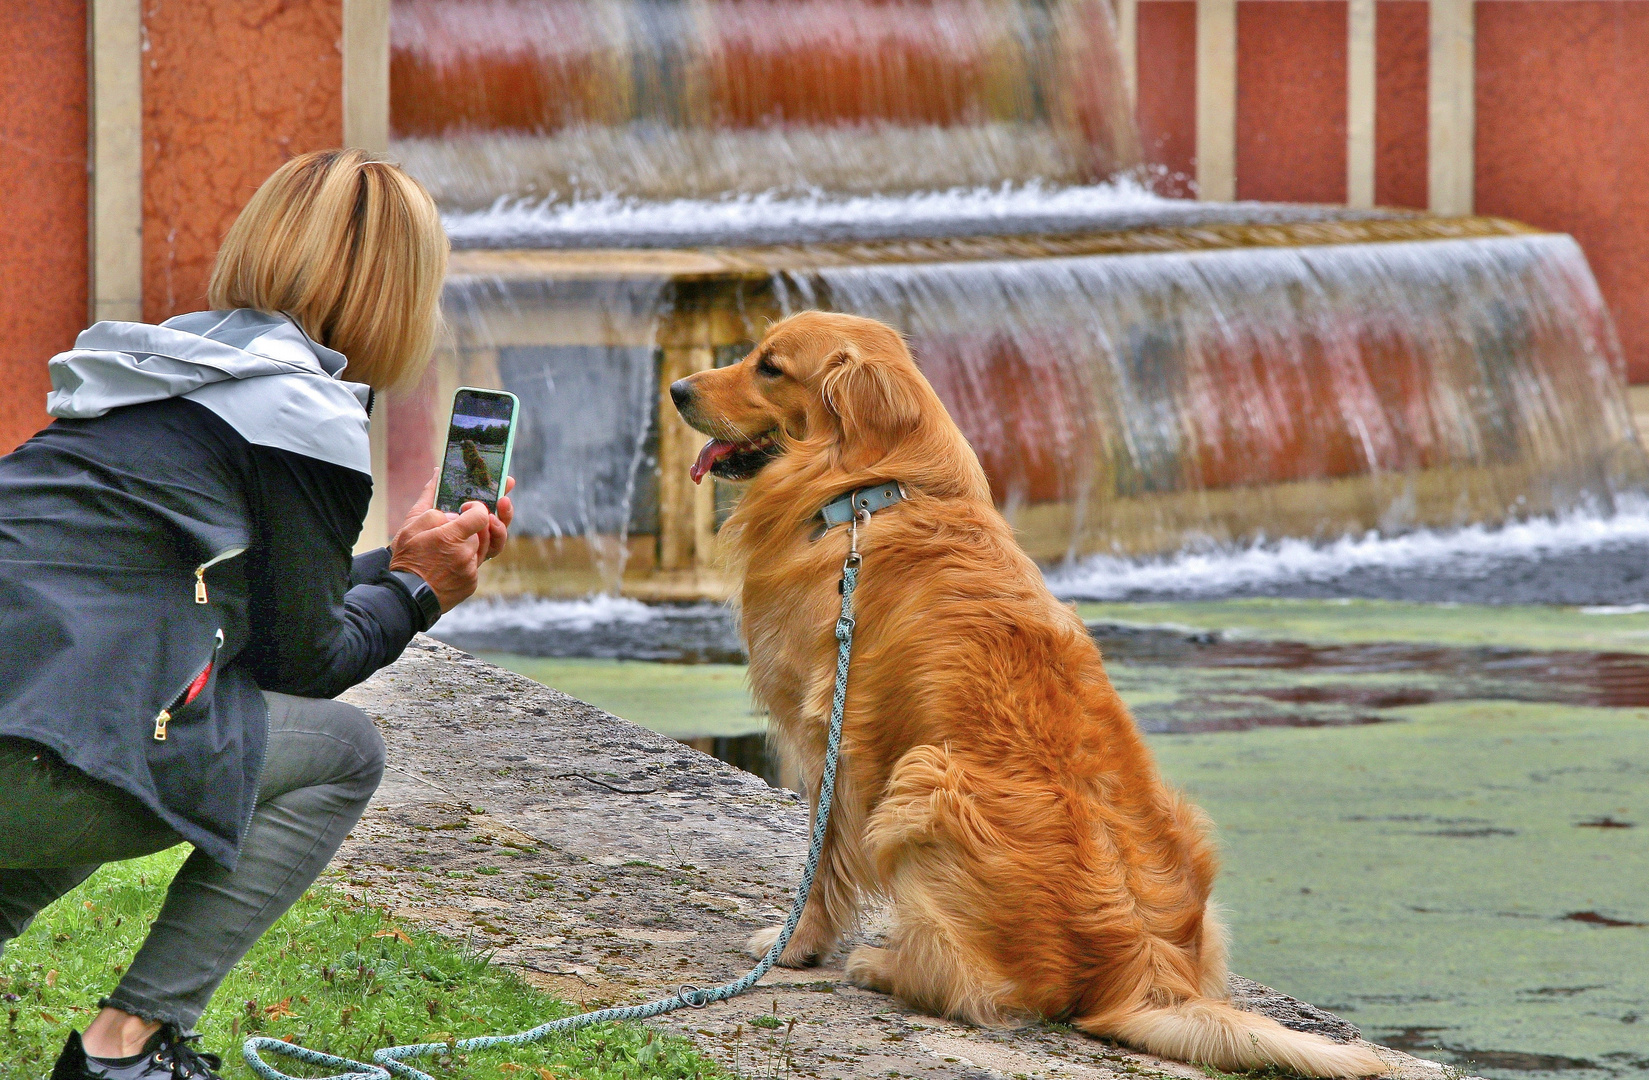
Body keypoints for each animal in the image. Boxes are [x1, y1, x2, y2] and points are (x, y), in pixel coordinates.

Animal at [669, 308, 1391, 1075]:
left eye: (770, 367)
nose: (676, 389)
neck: (867, 492)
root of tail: (1143, 973)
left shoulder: (829, 736)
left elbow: (821, 861)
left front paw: (796, 946)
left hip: (926, 777)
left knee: (973, 987)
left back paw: (881, 963)